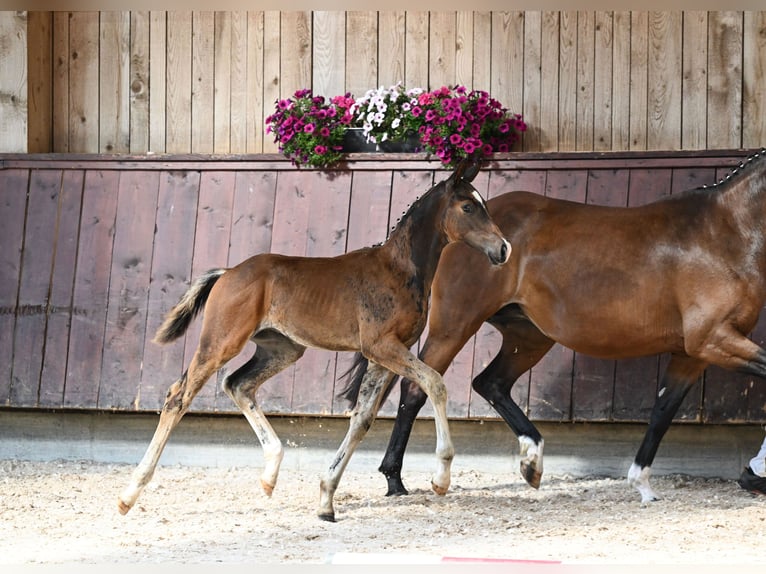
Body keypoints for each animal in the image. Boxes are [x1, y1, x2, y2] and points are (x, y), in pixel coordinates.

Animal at [117, 160, 510, 524]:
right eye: (468, 207)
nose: (504, 248)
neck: (399, 269)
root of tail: (227, 273)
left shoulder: (384, 356)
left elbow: (362, 419)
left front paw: (326, 500)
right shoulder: (380, 346)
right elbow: (435, 382)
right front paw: (441, 478)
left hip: (283, 348)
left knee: (238, 384)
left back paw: (270, 474)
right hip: (221, 342)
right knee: (178, 397)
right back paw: (129, 493)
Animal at [344, 147, 766, 504]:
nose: (502, 250)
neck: (724, 233)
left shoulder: (694, 353)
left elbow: (662, 412)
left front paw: (643, 485)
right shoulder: (714, 340)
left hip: (528, 336)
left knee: (490, 383)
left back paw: (532, 461)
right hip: (456, 326)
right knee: (417, 389)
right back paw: (398, 480)